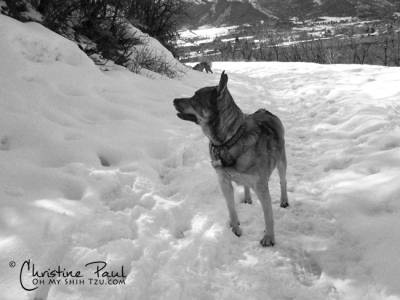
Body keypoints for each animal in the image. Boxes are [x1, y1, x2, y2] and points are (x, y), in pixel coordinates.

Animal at [172, 71, 288, 247]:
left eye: (195, 98)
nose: (174, 100)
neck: (228, 142)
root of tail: (264, 110)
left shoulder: (261, 188)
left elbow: (268, 216)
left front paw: (269, 237)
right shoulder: (223, 182)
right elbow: (231, 208)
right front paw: (235, 229)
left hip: (282, 162)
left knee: (283, 181)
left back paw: (284, 201)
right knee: (246, 186)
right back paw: (247, 197)